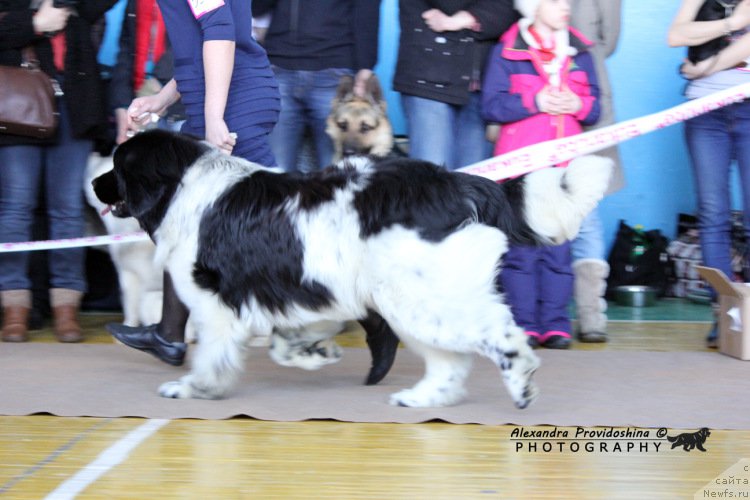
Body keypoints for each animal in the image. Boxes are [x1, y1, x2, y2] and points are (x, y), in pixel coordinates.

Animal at [95, 130, 612, 410]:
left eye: (118, 165)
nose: (97, 184)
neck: (183, 185)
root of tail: (451, 181)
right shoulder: (299, 289)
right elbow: (288, 340)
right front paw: (314, 353)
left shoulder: (215, 301)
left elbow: (213, 355)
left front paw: (195, 389)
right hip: (409, 297)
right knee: (449, 362)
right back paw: (421, 398)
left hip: (419, 295)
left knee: (497, 336)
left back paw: (520, 381)